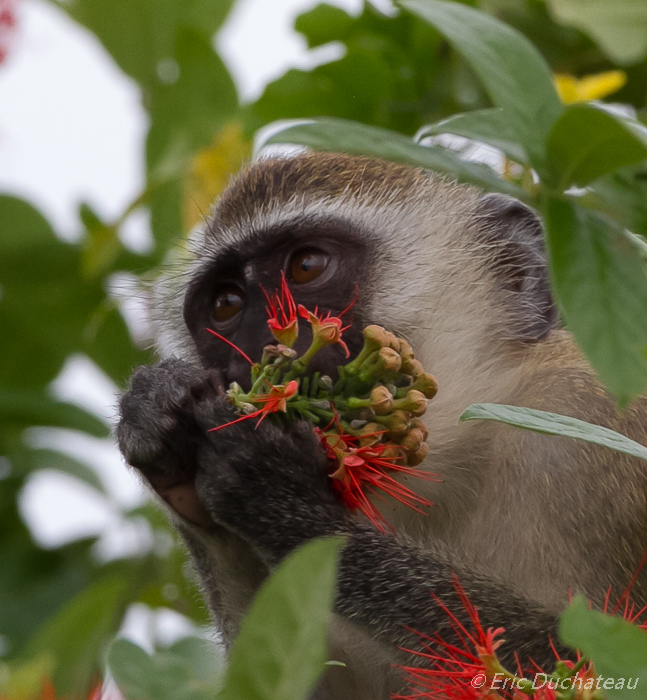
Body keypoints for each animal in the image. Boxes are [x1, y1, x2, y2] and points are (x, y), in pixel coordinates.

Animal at [116, 154, 647, 700]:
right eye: (225, 304)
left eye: (306, 266)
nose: (260, 351)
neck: (462, 458)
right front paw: (161, 415)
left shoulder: (591, 413)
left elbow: (591, 656)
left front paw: (283, 498)